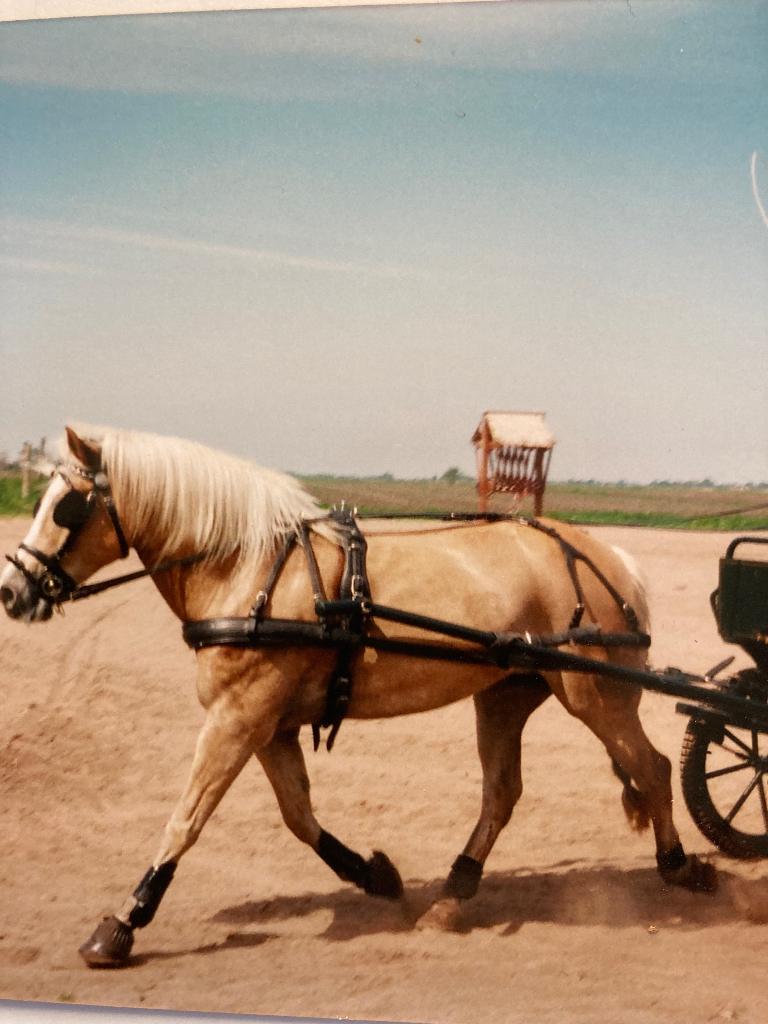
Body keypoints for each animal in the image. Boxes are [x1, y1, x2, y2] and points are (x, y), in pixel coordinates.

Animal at [0, 424, 716, 966]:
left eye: (66, 506)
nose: (14, 591)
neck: (247, 570)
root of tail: (608, 555)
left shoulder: (238, 717)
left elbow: (186, 817)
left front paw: (125, 920)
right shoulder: (268, 724)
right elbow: (298, 815)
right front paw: (374, 874)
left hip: (596, 695)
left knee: (652, 769)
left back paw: (680, 866)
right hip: (507, 694)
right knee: (503, 793)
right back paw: (455, 891)